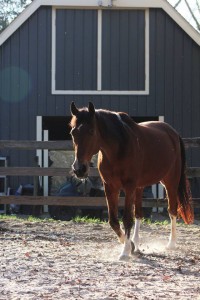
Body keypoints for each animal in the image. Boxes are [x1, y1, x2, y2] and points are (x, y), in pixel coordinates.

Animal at [69, 101, 194, 260]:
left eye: (91, 131)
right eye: (73, 133)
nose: (79, 169)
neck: (118, 149)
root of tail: (172, 133)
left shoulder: (129, 187)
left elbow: (127, 219)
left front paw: (125, 251)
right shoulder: (110, 187)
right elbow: (113, 221)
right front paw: (131, 246)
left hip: (170, 182)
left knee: (172, 210)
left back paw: (171, 244)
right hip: (139, 187)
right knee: (139, 214)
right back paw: (137, 243)